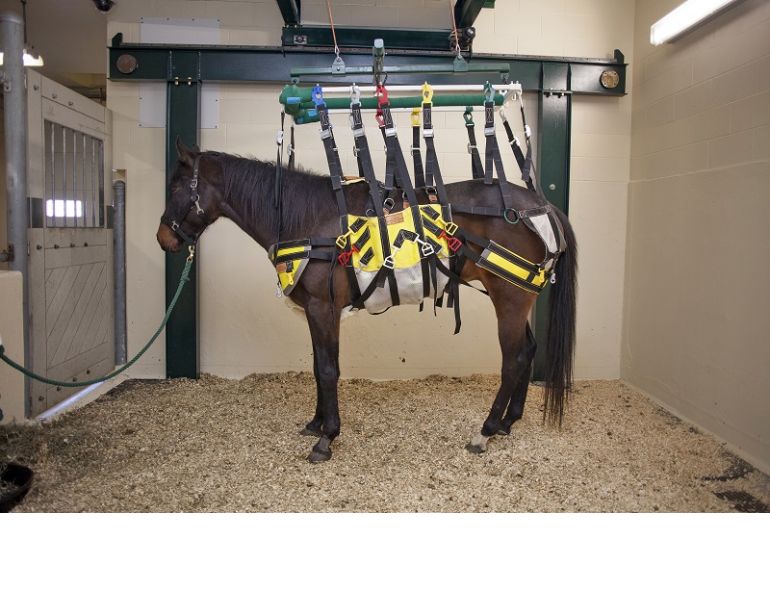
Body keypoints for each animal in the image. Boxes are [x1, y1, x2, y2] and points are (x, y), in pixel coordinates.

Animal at [157, 138, 577, 463]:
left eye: (175, 190)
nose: (165, 238)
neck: (311, 220)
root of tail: (542, 207)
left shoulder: (323, 308)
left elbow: (328, 369)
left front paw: (327, 438)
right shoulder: (315, 312)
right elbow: (318, 366)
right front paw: (316, 424)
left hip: (509, 297)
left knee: (514, 359)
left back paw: (485, 431)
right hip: (514, 293)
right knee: (528, 349)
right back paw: (507, 421)